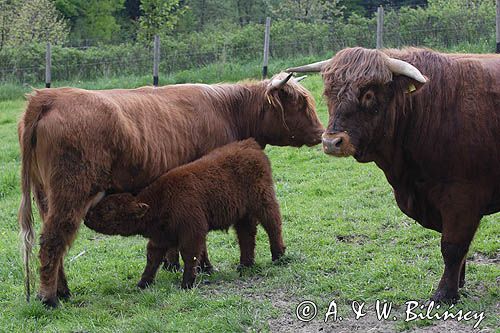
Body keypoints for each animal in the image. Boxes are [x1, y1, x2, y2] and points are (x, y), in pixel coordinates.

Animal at [84, 137, 284, 288]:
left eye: (110, 208)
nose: (87, 217)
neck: (161, 200)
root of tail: (250, 144)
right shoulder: (159, 238)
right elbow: (152, 259)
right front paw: (143, 283)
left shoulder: (192, 232)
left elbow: (190, 256)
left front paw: (187, 283)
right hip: (243, 214)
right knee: (246, 236)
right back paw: (245, 265)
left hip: (263, 201)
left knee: (273, 224)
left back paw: (279, 256)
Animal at [290, 47, 500, 304]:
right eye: (328, 92)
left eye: (368, 94)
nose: (331, 142)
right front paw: (458, 284)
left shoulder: (462, 198)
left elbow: (452, 247)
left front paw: (445, 293)